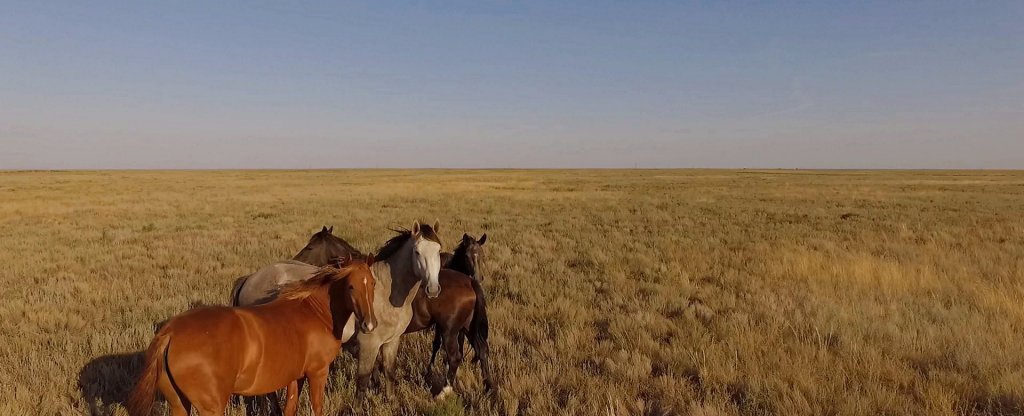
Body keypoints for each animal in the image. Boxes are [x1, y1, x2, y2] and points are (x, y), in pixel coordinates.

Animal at [128, 260, 376, 416]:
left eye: (372, 283)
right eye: (351, 286)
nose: (369, 324)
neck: (313, 311)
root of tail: (169, 333)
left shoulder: (295, 377)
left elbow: (290, 408)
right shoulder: (317, 372)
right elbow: (317, 408)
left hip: (179, 404)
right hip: (211, 407)